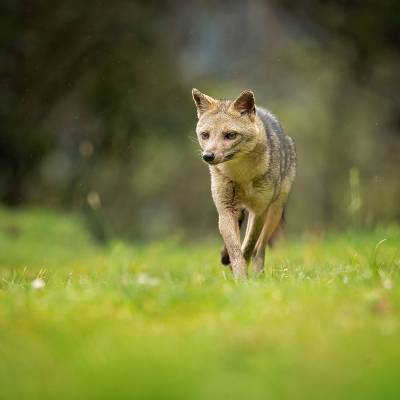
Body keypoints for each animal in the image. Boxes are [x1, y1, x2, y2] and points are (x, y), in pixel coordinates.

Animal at [192, 89, 296, 280]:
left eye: (230, 135)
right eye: (205, 135)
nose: (208, 156)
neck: (242, 174)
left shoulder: (259, 211)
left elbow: (247, 248)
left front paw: (243, 279)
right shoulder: (226, 210)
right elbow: (235, 250)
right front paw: (239, 277)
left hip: (273, 213)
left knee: (259, 250)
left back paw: (258, 275)